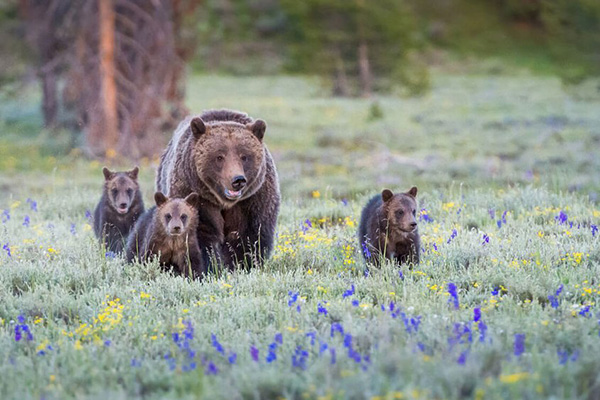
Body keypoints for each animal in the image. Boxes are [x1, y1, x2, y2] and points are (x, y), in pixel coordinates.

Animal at [158, 108, 282, 268]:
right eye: (219, 157)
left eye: (244, 156)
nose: (238, 180)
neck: (224, 202)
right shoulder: (195, 195)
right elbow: (199, 234)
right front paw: (209, 266)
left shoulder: (252, 200)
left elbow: (249, 237)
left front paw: (243, 265)